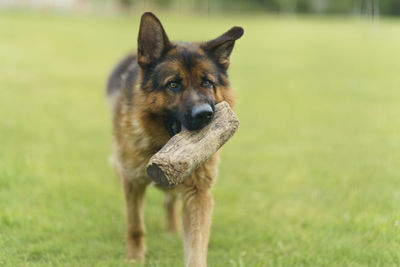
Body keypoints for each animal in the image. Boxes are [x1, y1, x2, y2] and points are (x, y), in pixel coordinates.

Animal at [106, 12, 244, 266]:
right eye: (173, 84)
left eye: (207, 82)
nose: (204, 115)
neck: (161, 145)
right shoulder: (132, 182)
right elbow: (135, 227)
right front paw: (134, 259)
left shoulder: (198, 194)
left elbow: (196, 246)